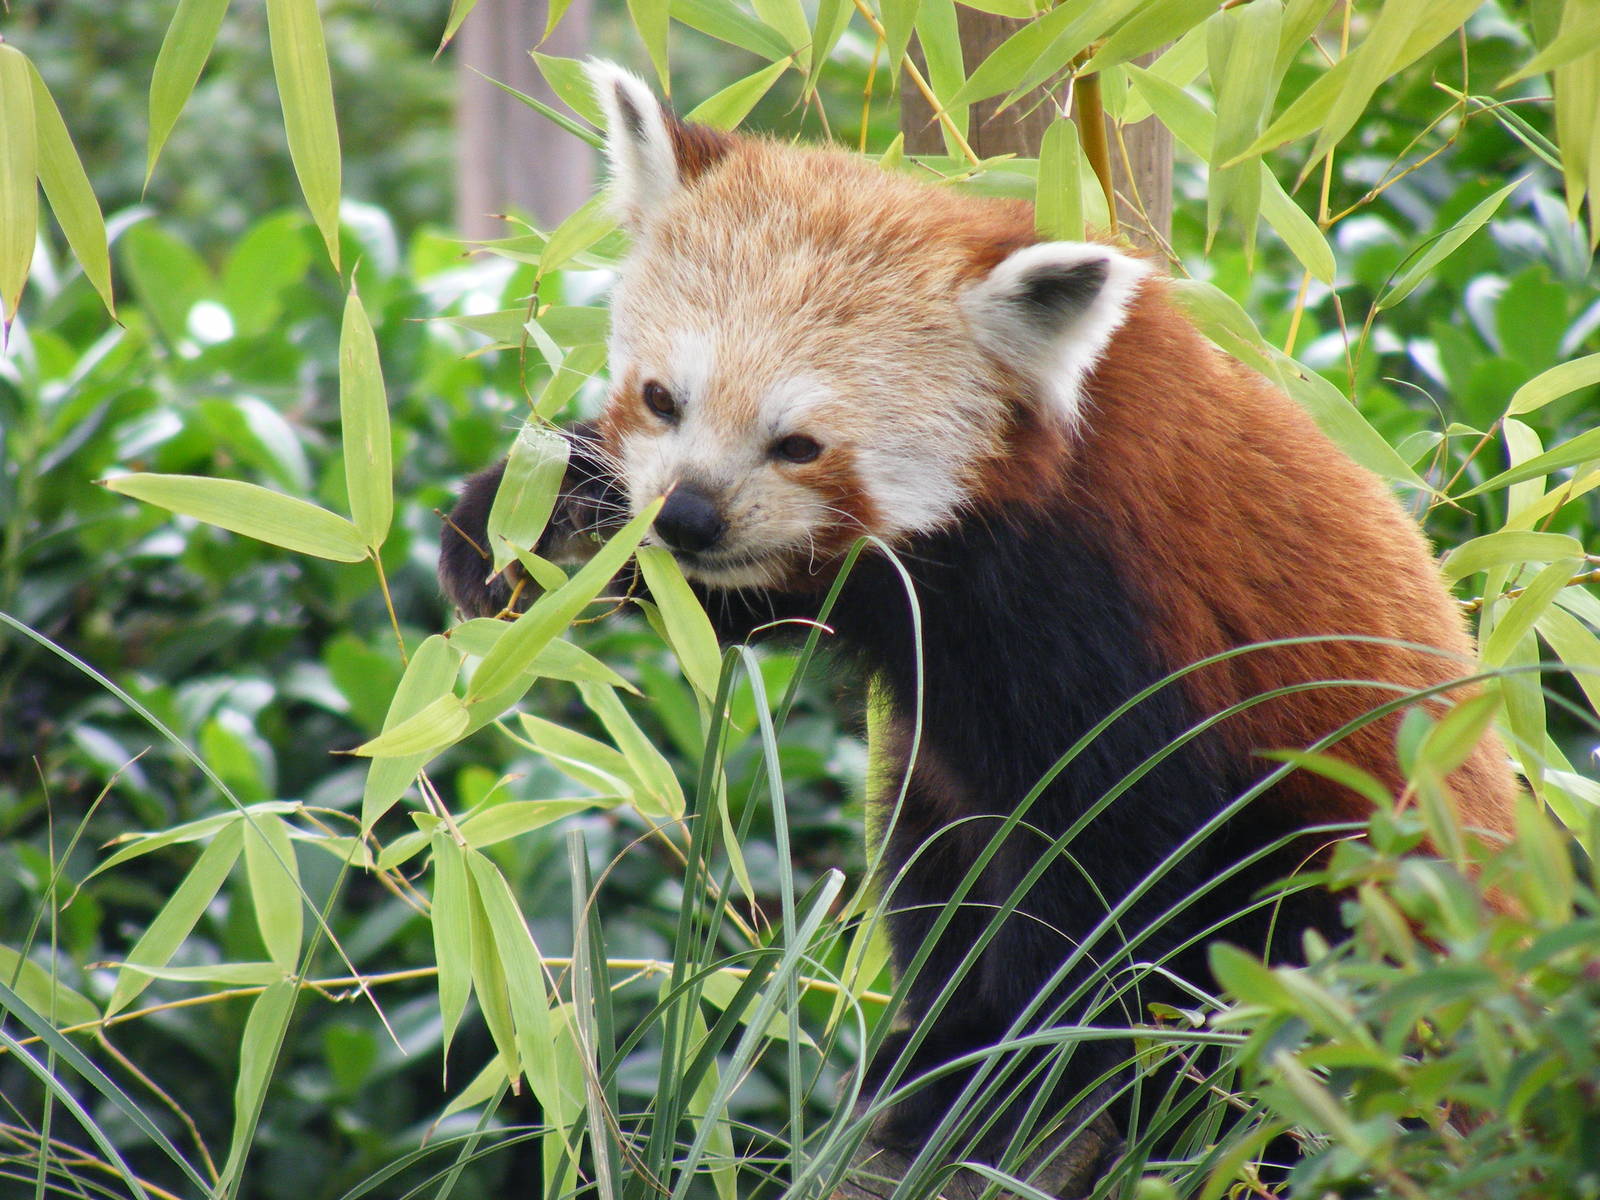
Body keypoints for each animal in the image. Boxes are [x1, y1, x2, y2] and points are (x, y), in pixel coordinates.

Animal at [440, 62, 1518, 1160]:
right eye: (661, 398)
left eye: (799, 444)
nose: (689, 515)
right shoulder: (896, 596)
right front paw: (529, 516)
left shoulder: (1104, 607)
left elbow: (1113, 866)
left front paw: (1013, 1073)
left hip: (1365, 881)